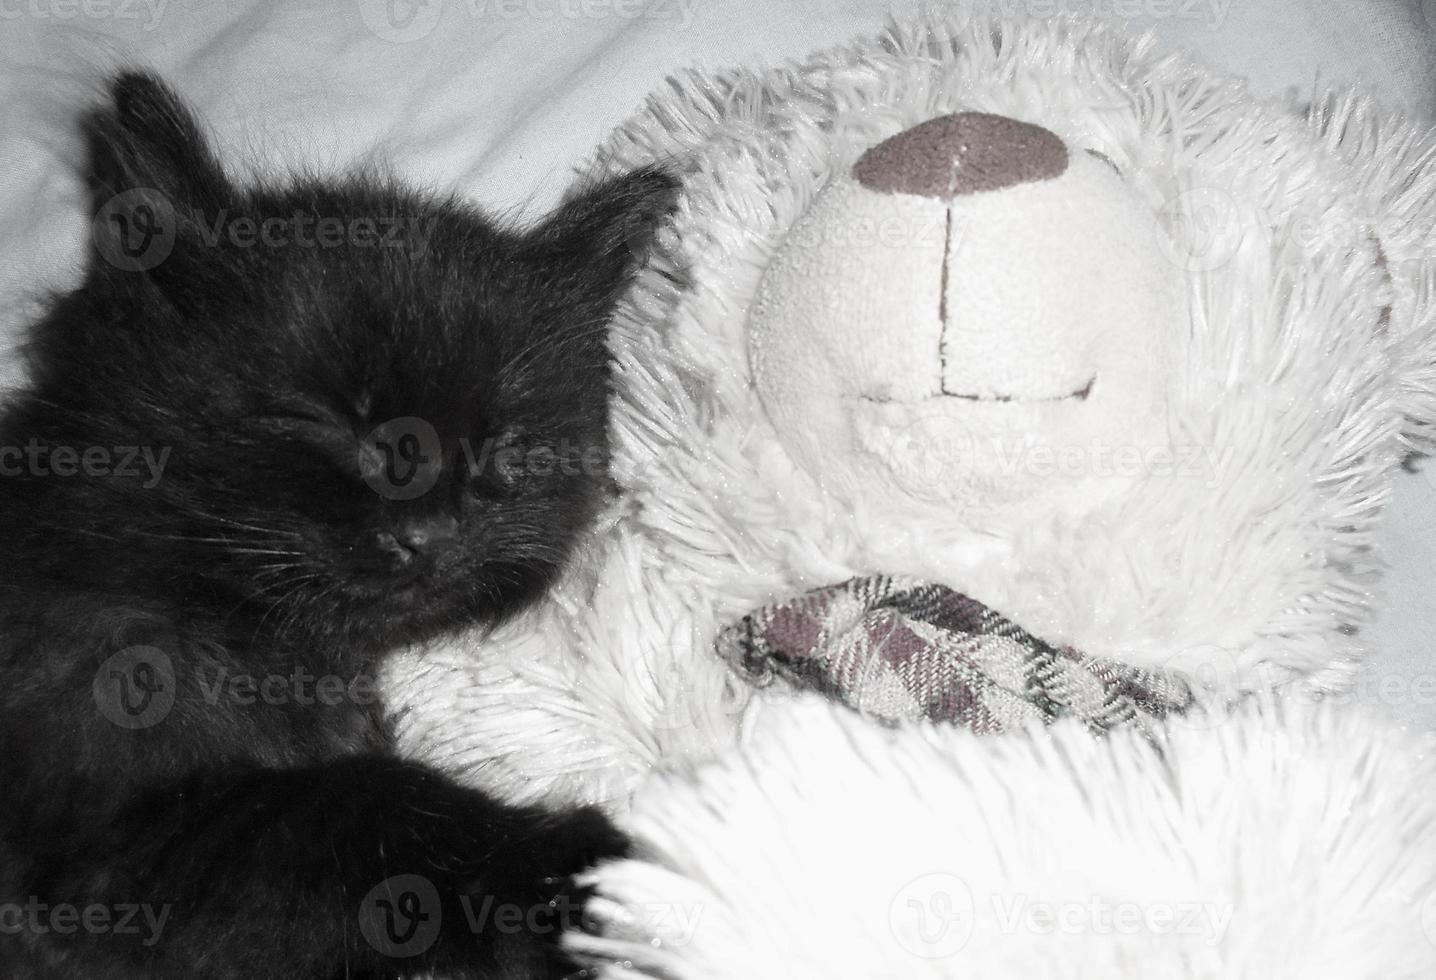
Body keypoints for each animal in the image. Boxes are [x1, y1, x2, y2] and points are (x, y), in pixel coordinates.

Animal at [0, 70, 674, 977]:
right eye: (317, 419)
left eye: (504, 446)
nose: (430, 530)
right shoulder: (104, 845)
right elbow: (364, 804)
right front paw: (582, 871)